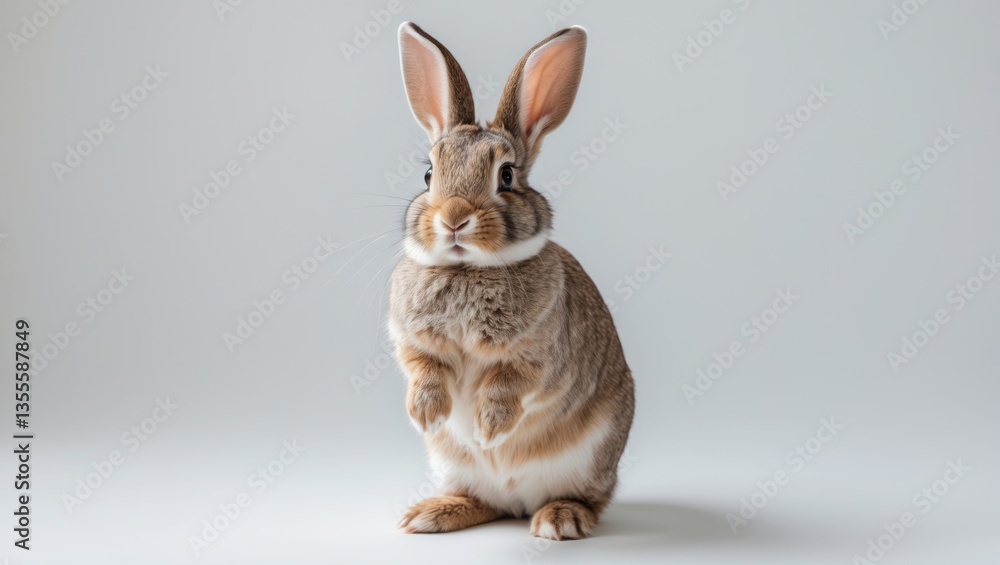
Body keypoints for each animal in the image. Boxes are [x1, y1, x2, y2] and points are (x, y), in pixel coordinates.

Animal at [388, 21, 635, 541]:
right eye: (428, 174)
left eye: (506, 176)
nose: (454, 218)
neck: (467, 270)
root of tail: (518, 502)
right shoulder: (413, 343)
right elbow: (424, 371)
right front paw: (426, 416)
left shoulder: (536, 358)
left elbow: (508, 386)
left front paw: (488, 430)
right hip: (455, 469)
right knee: (483, 501)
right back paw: (430, 514)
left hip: (592, 459)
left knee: (589, 500)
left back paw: (559, 520)